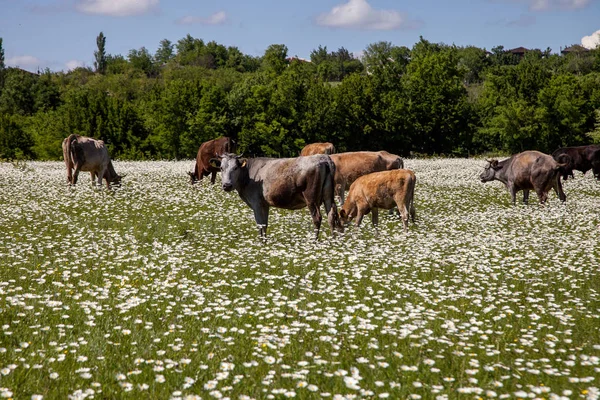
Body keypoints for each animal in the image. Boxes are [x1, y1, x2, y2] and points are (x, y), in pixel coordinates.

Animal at [210, 153, 342, 239]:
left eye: (235, 167)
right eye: (221, 168)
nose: (227, 185)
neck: (248, 175)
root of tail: (323, 157)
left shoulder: (256, 203)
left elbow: (260, 224)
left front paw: (261, 244)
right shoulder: (264, 204)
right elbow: (265, 224)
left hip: (311, 198)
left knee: (317, 218)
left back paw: (315, 241)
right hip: (328, 196)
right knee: (331, 215)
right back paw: (332, 241)